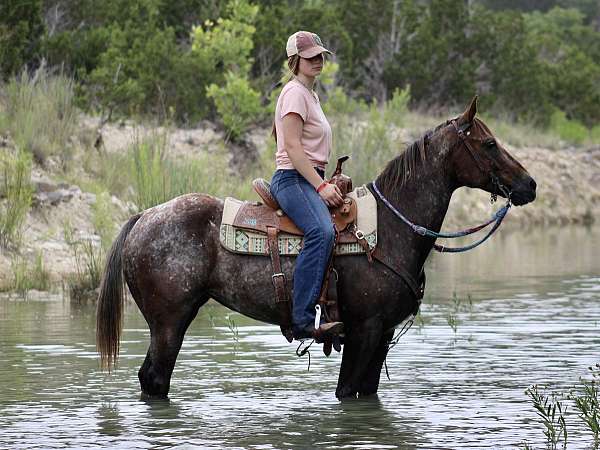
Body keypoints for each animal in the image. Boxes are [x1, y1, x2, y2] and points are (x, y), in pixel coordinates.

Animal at [96, 96, 536, 400]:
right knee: (154, 378)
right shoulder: (363, 331)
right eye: (490, 144)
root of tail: (144, 216)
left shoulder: (382, 334)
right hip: (168, 321)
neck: (391, 228)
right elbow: (347, 393)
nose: (530, 185)